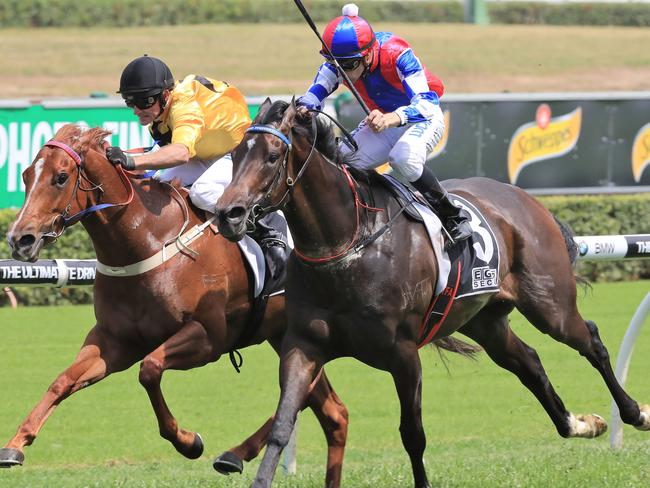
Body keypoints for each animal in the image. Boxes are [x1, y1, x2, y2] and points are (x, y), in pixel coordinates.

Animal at [3, 124, 350, 486]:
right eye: (26, 175)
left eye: (60, 177)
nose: (20, 238)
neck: (148, 240)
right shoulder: (115, 341)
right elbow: (63, 381)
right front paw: (16, 444)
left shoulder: (208, 337)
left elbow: (150, 370)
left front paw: (188, 441)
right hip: (286, 335)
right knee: (332, 411)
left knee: (305, 399)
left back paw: (235, 454)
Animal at [214, 100, 648, 488]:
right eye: (234, 155)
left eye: (272, 156)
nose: (228, 214)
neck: (348, 243)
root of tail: (524, 198)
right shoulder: (303, 345)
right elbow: (283, 424)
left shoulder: (404, 353)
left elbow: (413, 435)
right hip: (485, 320)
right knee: (529, 362)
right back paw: (580, 423)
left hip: (550, 304)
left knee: (591, 341)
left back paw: (634, 413)